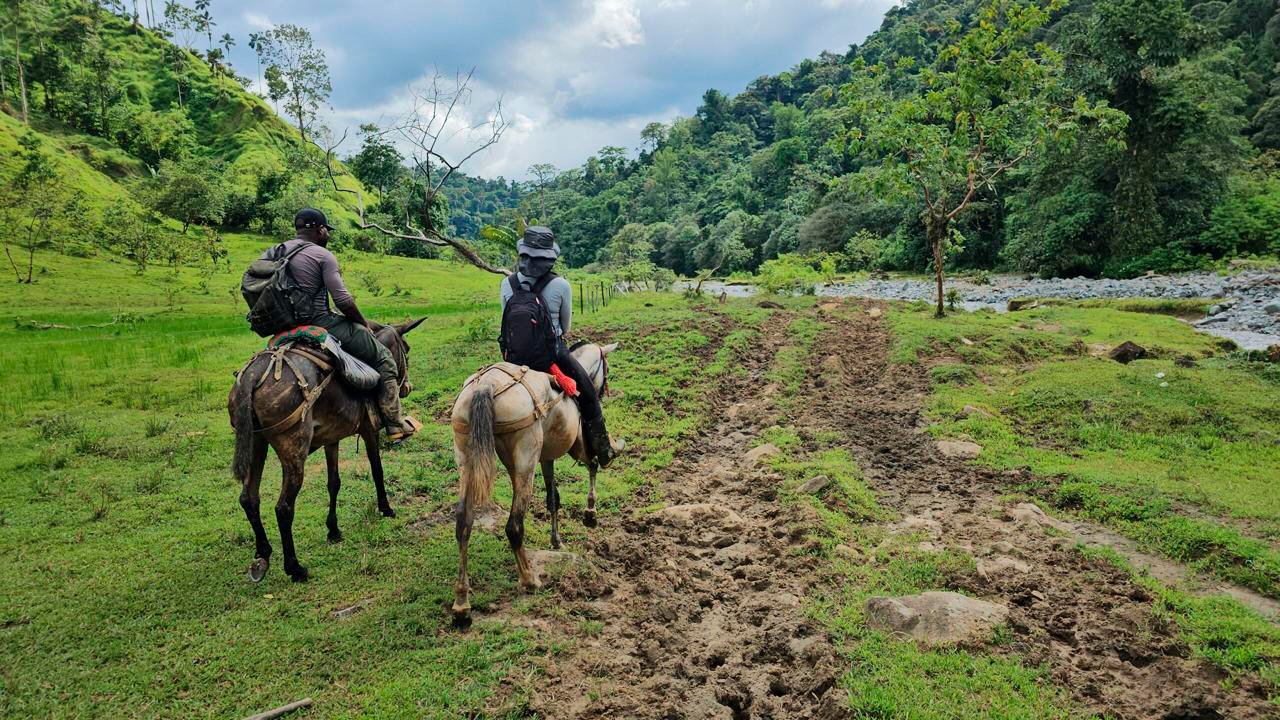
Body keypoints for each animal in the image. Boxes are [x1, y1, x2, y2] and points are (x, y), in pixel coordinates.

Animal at [229, 319, 424, 584]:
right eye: (407, 348)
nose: (407, 388)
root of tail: (252, 376)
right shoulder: (369, 430)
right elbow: (377, 471)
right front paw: (385, 508)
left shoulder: (332, 439)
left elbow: (334, 483)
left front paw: (333, 529)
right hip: (294, 451)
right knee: (283, 508)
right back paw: (295, 568)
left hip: (255, 444)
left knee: (249, 498)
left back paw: (263, 555)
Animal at [448, 338, 616, 625]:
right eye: (606, 369)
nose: (603, 391)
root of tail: (486, 385)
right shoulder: (578, 444)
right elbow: (592, 464)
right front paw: (590, 513)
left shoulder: (546, 456)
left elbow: (552, 498)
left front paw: (556, 540)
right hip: (526, 456)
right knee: (514, 526)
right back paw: (529, 579)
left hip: (468, 457)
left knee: (463, 523)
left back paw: (462, 603)